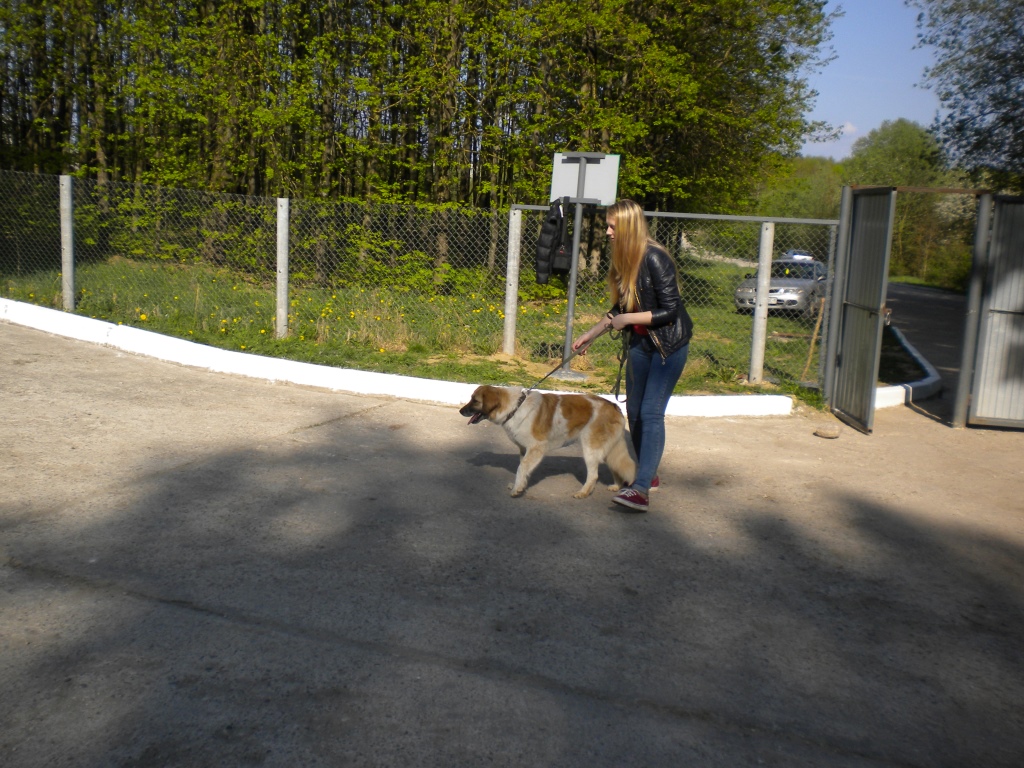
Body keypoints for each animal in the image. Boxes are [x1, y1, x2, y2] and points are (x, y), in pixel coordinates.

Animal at [458, 382, 630, 499]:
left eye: (474, 400)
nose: (460, 411)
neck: (515, 407)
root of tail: (613, 405)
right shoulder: (525, 450)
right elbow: (523, 469)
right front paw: (520, 486)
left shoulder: (536, 448)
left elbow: (521, 468)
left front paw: (516, 490)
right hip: (607, 450)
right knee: (616, 466)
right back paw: (616, 486)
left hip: (590, 449)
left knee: (594, 475)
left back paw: (583, 492)